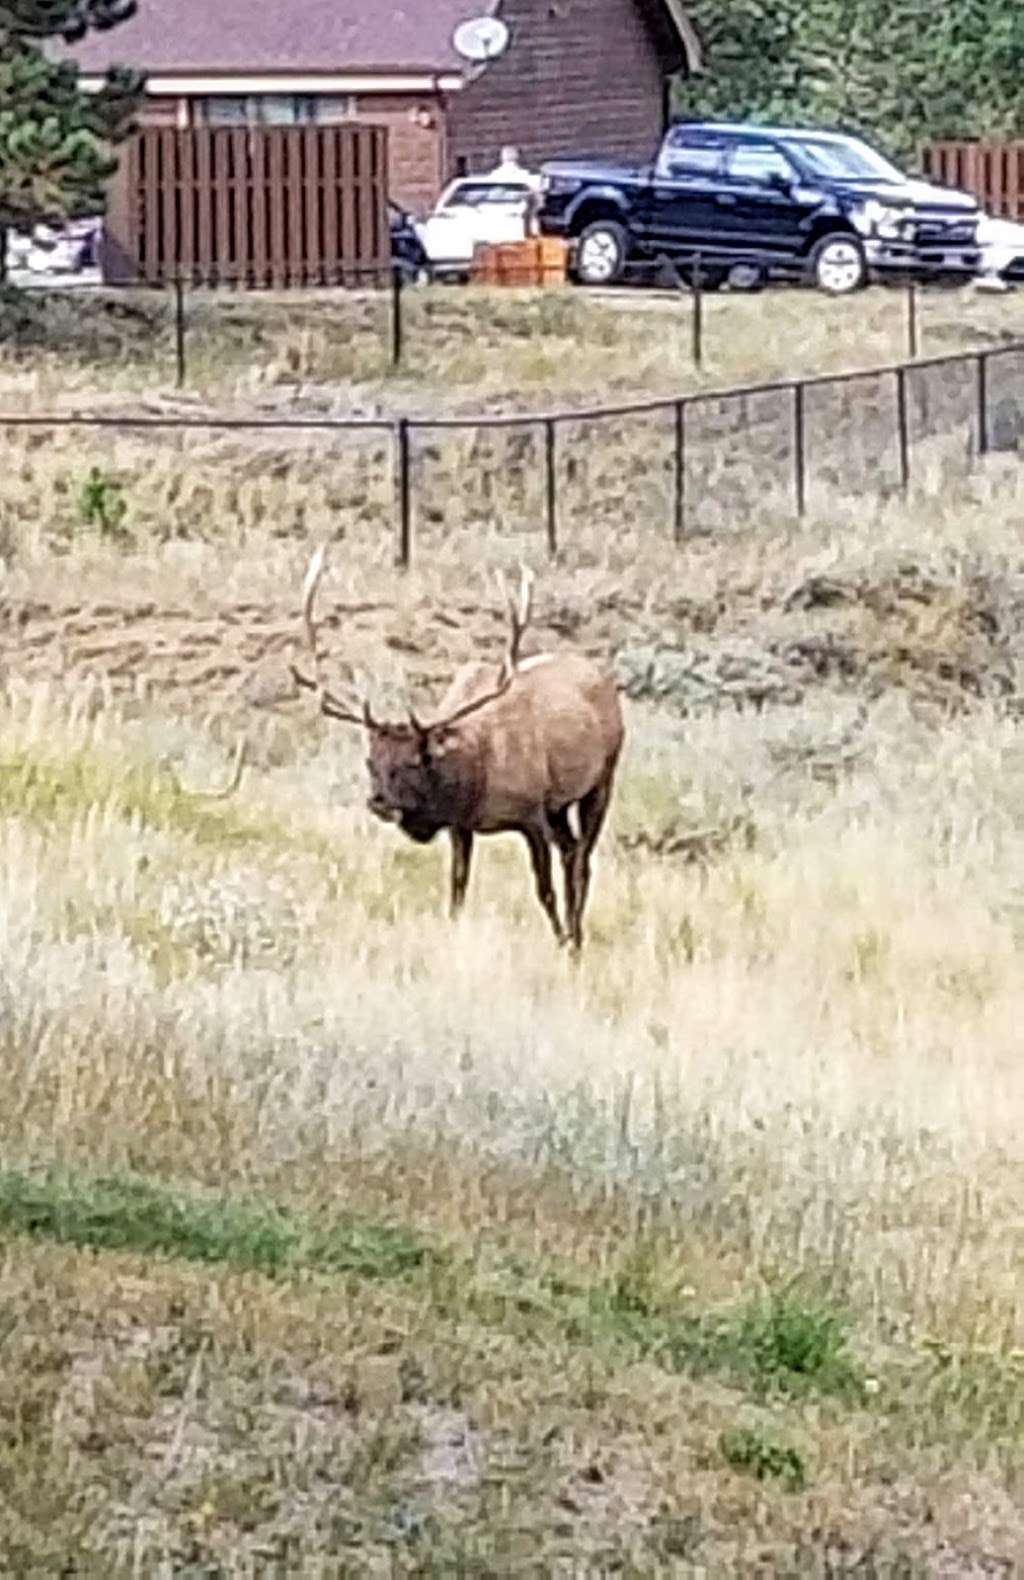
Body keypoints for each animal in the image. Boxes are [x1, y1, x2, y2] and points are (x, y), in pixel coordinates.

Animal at [287, 549, 622, 954]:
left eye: (416, 760)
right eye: (370, 761)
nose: (379, 801)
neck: (474, 780)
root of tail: (604, 679)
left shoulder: (531, 814)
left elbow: (544, 891)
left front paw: (561, 942)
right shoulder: (462, 825)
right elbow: (457, 888)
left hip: (602, 780)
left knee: (582, 860)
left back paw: (576, 938)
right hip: (559, 806)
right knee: (572, 852)